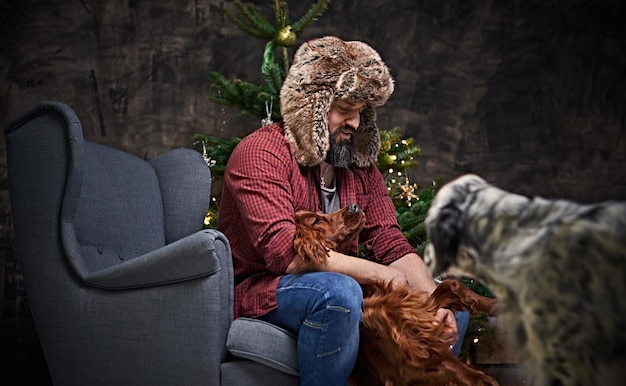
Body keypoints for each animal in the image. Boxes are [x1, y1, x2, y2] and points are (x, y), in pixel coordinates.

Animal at [292, 204, 498, 384]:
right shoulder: (406, 368)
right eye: (317, 221)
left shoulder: (419, 311)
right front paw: (483, 380)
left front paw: (494, 303)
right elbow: (451, 364)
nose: (354, 206)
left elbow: (453, 284)